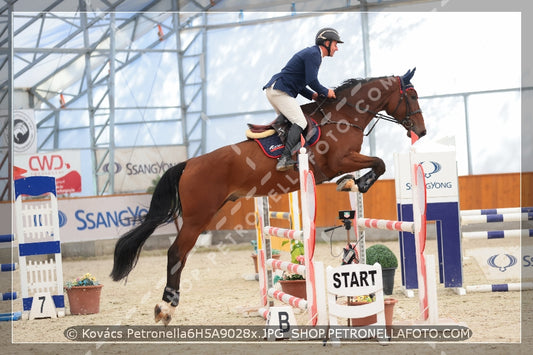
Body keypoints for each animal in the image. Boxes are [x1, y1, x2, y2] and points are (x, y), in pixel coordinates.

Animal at [110, 68, 426, 326]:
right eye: (411, 95)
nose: (421, 132)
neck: (344, 117)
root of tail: (189, 163)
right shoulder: (339, 161)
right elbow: (379, 163)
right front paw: (357, 182)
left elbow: (376, 164)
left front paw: (352, 183)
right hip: (197, 217)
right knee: (177, 253)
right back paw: (167, 307)